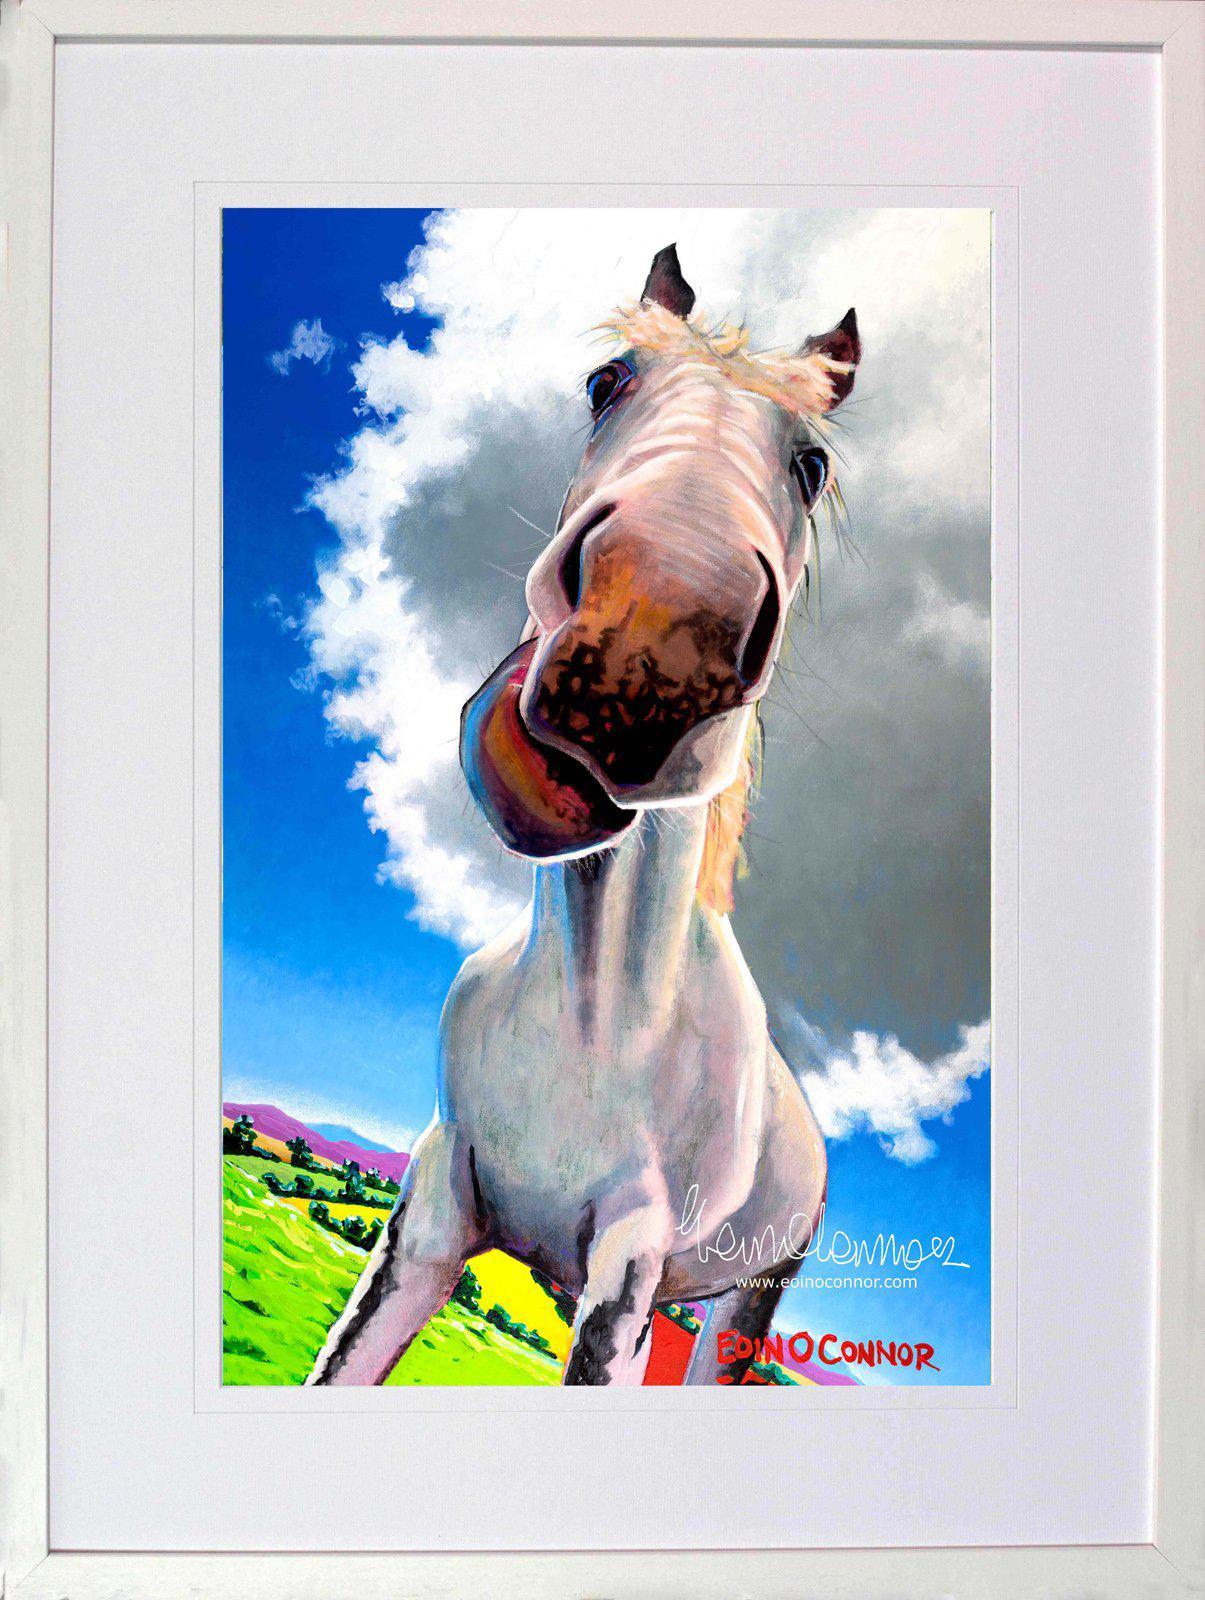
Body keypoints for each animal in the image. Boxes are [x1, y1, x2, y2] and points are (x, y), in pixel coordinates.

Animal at [308, 245, 860, 1387]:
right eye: (606, 382)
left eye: (811, 466)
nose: (649, 643)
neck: (593, 1027)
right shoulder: (428, 1224)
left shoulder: (628, 1272)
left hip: (739, 1307)